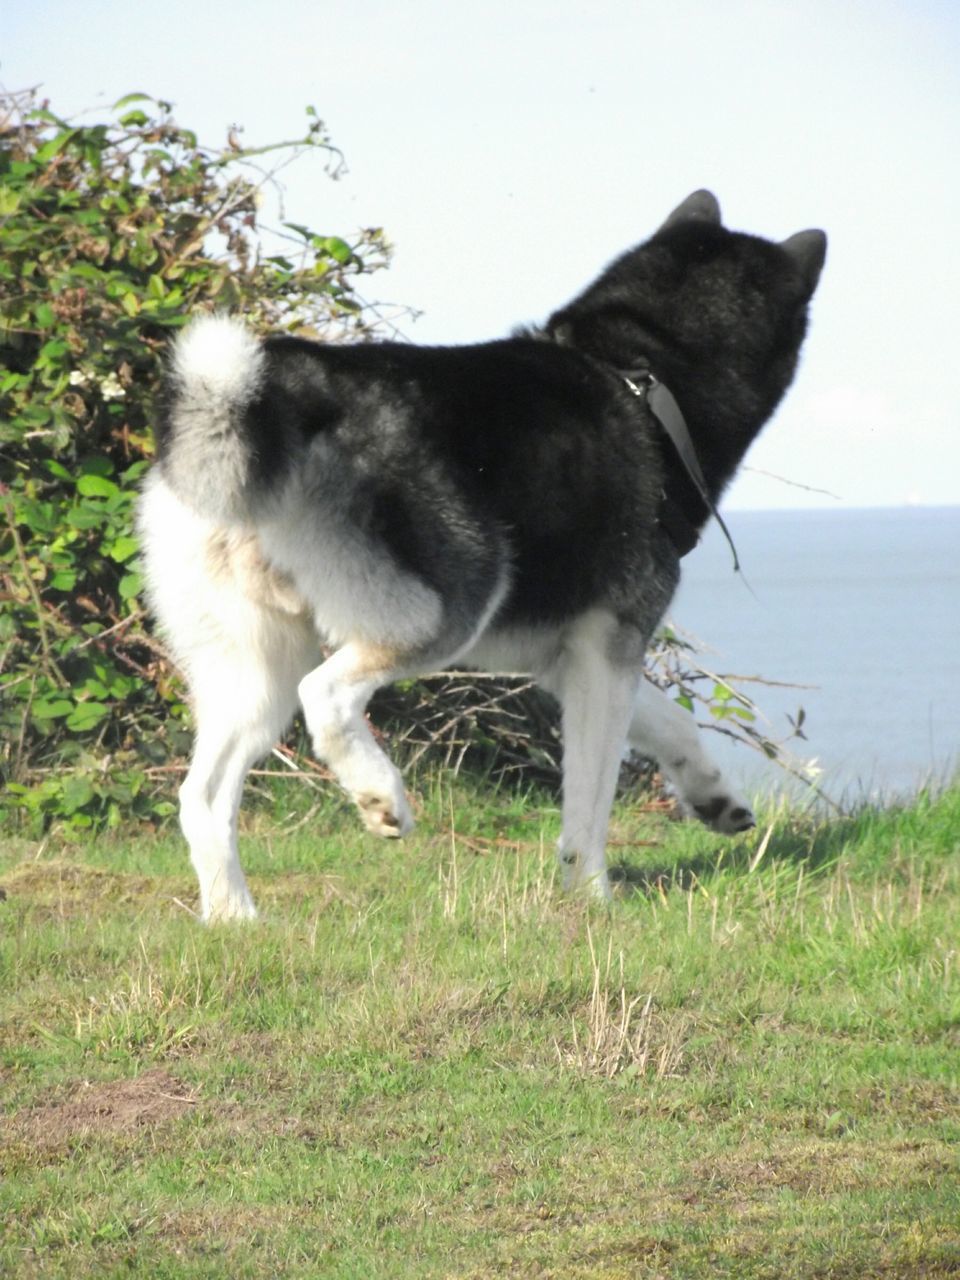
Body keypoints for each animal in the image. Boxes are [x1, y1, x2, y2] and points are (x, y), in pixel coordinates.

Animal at [136, 189, 829, 921]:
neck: (643, 375)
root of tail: (271, 400)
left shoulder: (577, 655)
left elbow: (671, 724)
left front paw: (714, 797)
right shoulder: (611, 644)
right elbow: (590, 800)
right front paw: (593, 897)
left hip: (252, 671)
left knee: (202, 796)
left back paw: (235, 918)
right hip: (443, 610)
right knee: (325, 695)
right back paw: (380, 795)